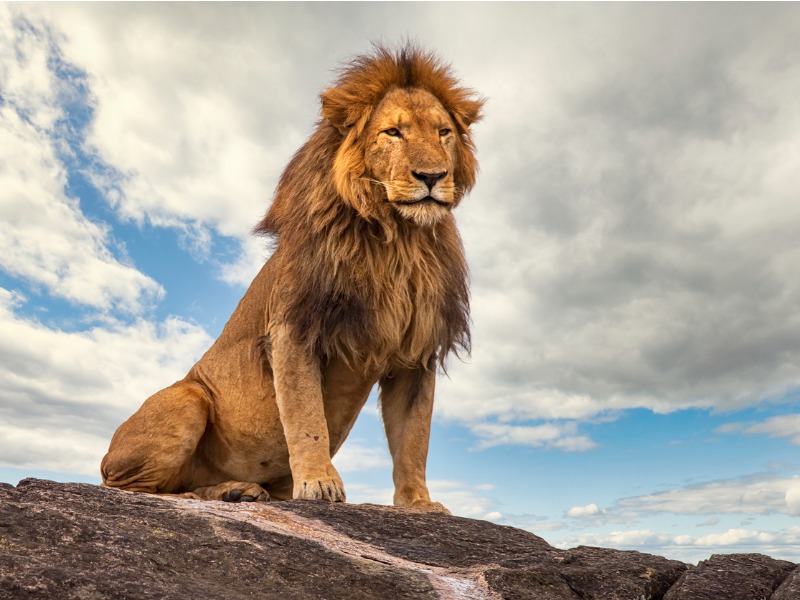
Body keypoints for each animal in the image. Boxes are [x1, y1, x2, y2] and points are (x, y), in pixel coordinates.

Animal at [103, 44, 484, 512]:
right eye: (393, 132)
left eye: (444, 132)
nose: (432, 177)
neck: (398, 240)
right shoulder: (294, 328)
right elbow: (306, 417)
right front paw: (320, 483)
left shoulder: (416, 352)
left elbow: (414, 438)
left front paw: (418, 503)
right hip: (187, 399)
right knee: (138, 488)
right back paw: (217, 492)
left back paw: (239, 490)